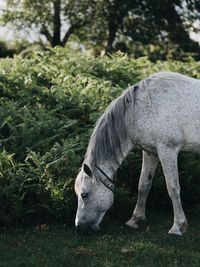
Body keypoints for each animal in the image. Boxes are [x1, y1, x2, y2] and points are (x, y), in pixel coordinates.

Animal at [74, 71, 200, 237]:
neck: (144, 107)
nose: (79, 228)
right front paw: (135, 220)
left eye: (84, 194)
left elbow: (173, 188)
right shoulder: (150, 152)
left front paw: (178, 227)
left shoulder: (168, 150)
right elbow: (143, 185)